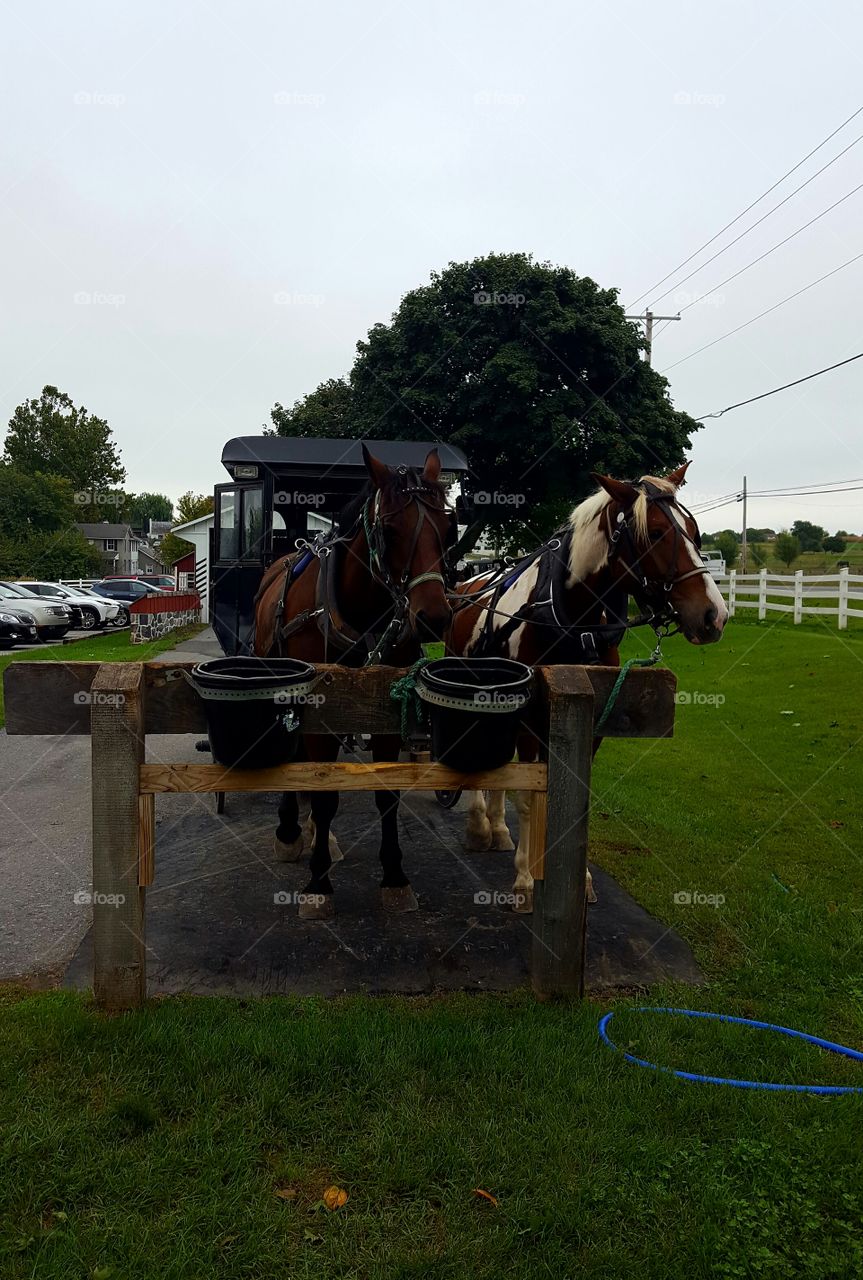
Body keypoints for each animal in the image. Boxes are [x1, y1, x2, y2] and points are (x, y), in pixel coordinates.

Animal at [253, 445, 456, 919]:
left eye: (447, 530)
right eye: (390, 530)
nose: (433, 617)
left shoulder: (387, 711)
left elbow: (387, 794)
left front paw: (395, 876)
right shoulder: (318, 710)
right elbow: (324, 794)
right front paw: (318, 882)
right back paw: (291, 830)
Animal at [446, 463, 728, 913]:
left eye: (695, 532)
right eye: (657, 533)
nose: (714, 615)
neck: (569, 615)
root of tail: (473, 582)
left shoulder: (590, 717)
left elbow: (575, 794)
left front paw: (580, 879)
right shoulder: (529, 718)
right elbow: (530, 797)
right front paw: (526, 878)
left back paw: (497, 827)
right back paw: (479, 826)